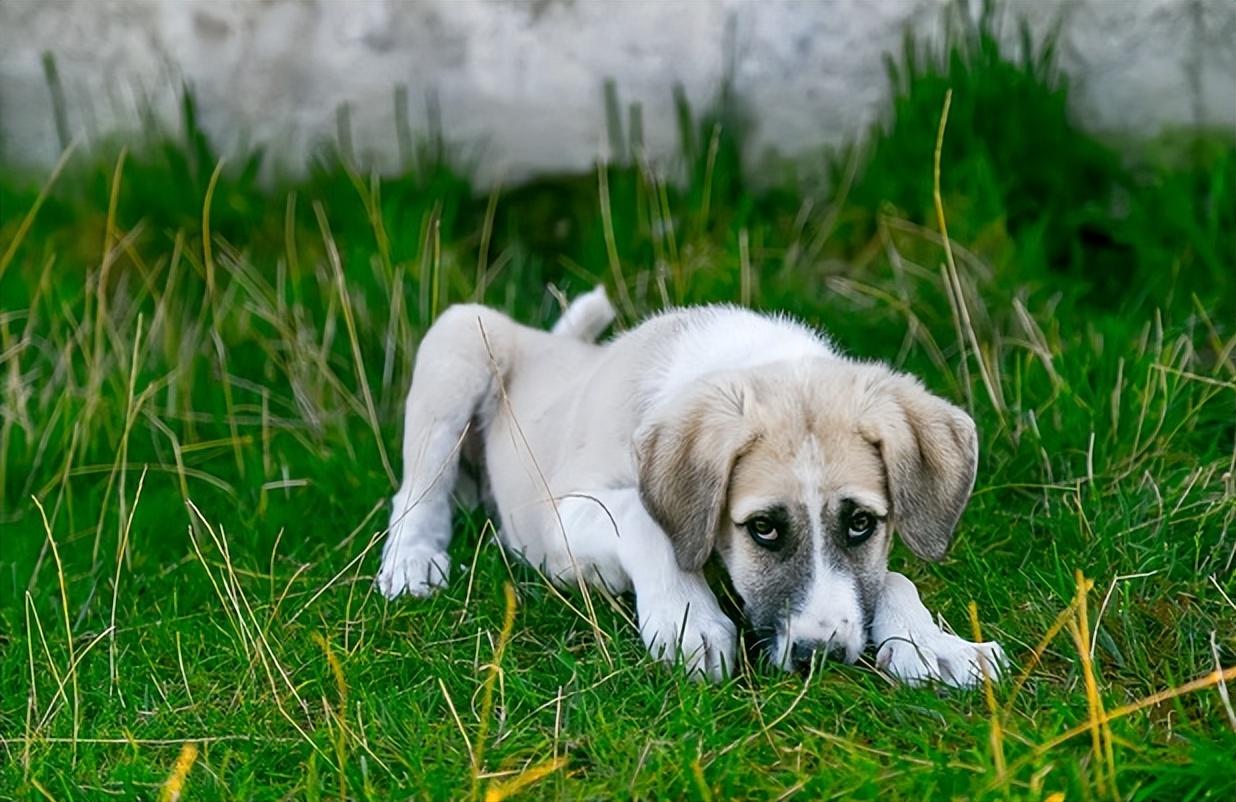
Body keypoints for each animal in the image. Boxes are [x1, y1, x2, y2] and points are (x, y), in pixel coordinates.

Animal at [375, 284, 1003, 687]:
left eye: (861, 523)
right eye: (763, 528)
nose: (819, 655)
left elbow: (892, 577)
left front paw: (933, 644)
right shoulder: (563, 515)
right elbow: (643, 520)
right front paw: (687, 620)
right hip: (460, 340)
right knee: (417, 489)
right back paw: (411, 561)